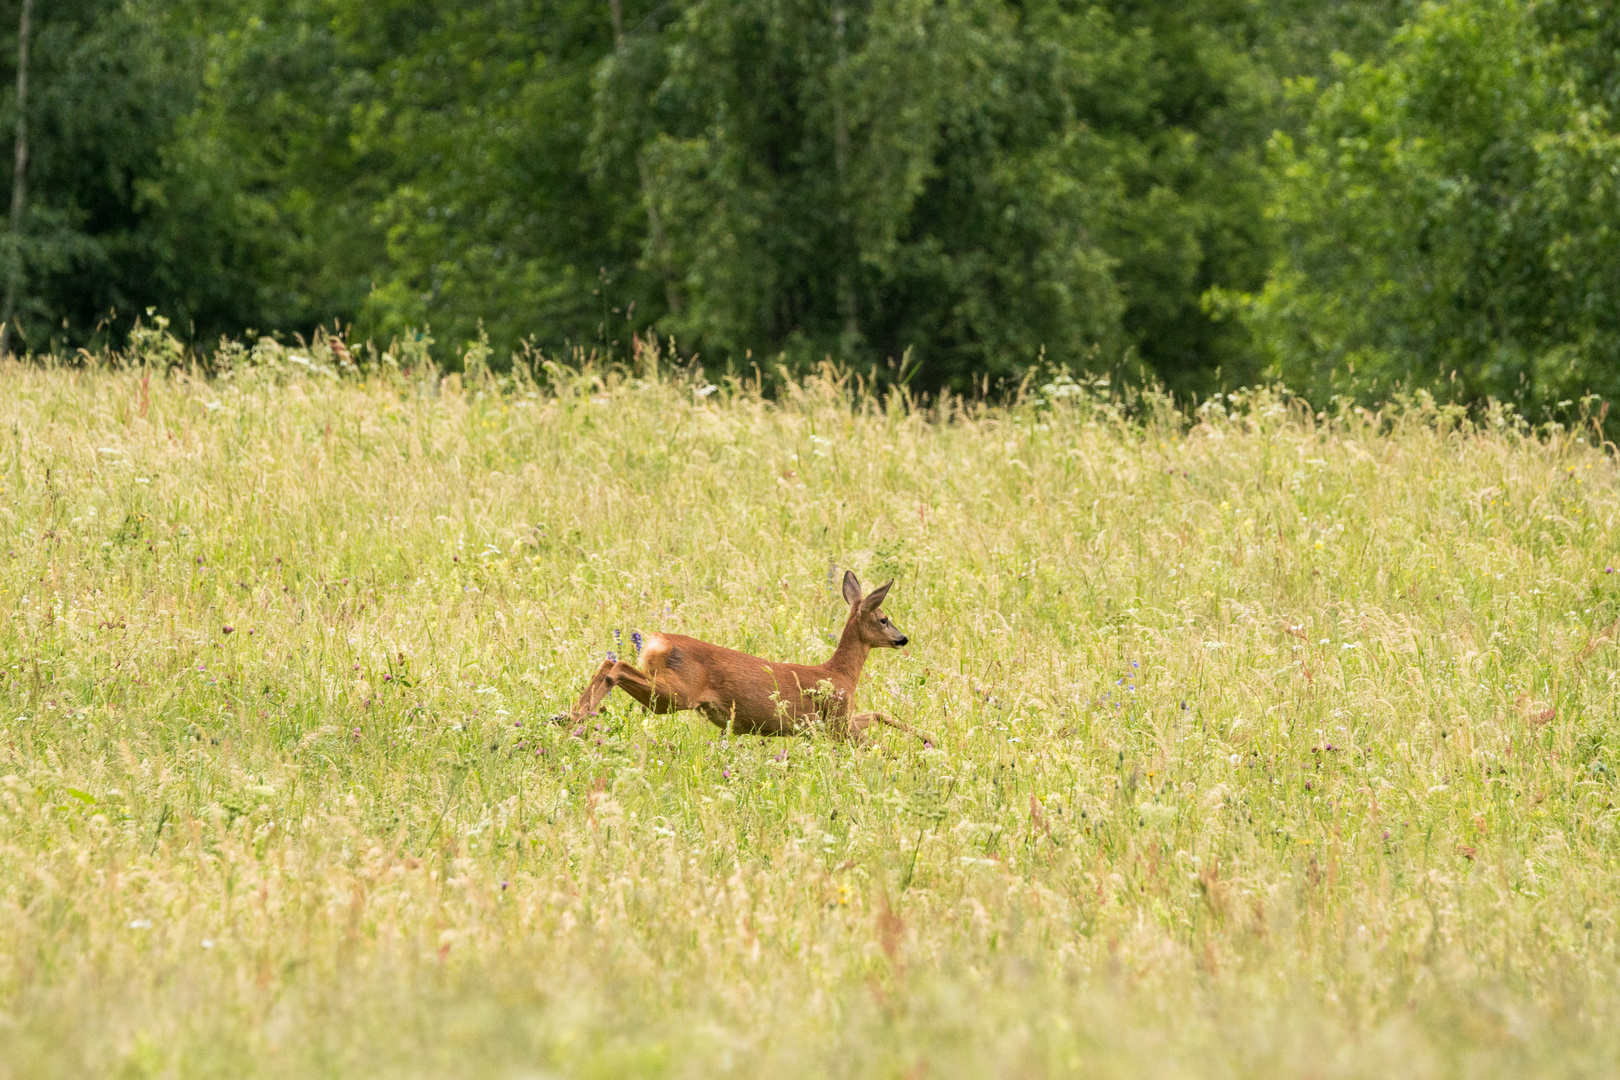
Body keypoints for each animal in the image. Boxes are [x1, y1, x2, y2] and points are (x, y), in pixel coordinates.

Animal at [557, 573, 939, 744]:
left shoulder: (836, 721)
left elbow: (876, 713)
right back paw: (578, 716)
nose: (902, 639)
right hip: (675, 694)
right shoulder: (836, 719)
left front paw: (929, 739)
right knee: (616, 666)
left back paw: (568, 716)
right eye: (884, 618)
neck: (841, 673)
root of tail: (655, 642)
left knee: (609, 663)